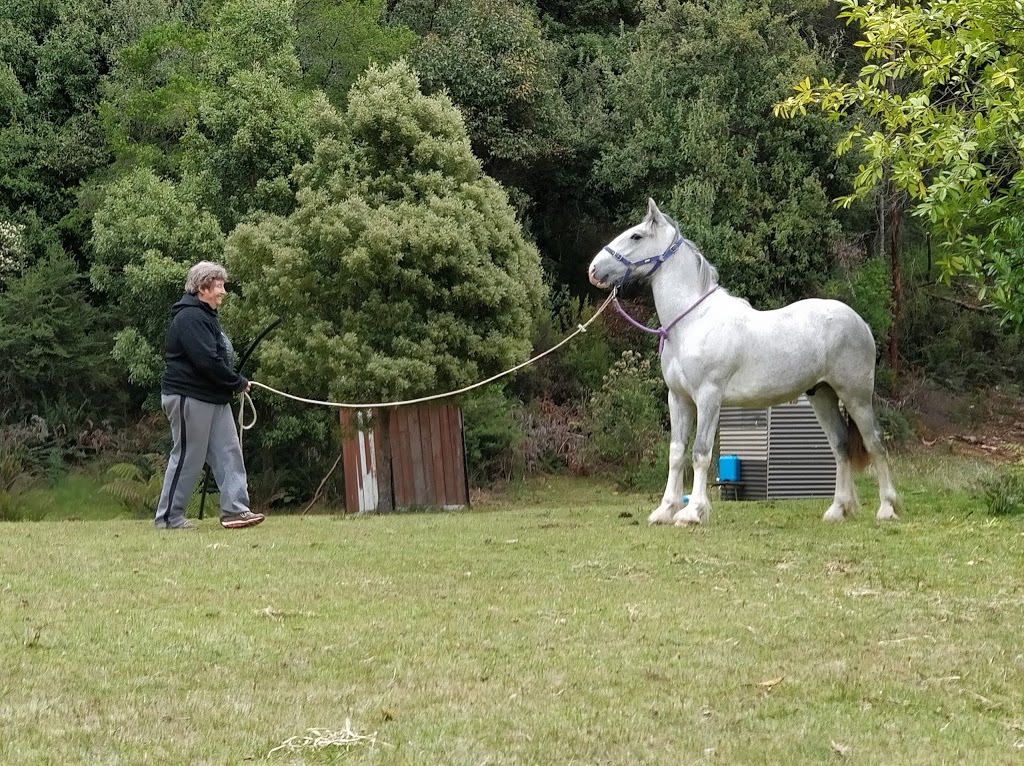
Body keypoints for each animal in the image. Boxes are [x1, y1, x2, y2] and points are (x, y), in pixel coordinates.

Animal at [589, 200, 901, 528]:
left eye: (636, 236)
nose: (594, 270)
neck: (692, 322)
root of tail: (861, 323)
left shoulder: (708, 397)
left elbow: (701, 453)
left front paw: (693, 512)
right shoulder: (678, 398)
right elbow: (676, 453)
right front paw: (665, 510)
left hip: (856, 396)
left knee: (875, 442)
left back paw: (886, 508)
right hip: (823, 395)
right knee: (840, 446)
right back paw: (838, 509)